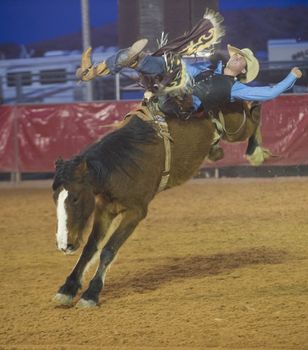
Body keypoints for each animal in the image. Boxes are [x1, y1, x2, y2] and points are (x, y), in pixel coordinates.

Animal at [51, 100, 268, 306]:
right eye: (55, 198)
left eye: (75, 197)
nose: (64, 245)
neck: (122, 164)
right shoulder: (105, 209)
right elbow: (90, 248)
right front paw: (67, 289)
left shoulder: (136, 212)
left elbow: (108, 250)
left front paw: (91, 293)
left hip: (236, 127)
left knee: (254, 115)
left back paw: (256, 152)